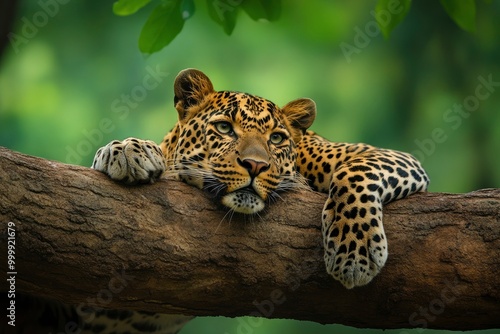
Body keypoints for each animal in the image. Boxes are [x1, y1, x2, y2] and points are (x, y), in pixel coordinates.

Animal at [89, 69, 426, 332]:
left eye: (276, 138)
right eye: (224, 128)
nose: (255, 165)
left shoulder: (390, 157)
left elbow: (354, 171)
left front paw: (353, 255)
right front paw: (125, 150)